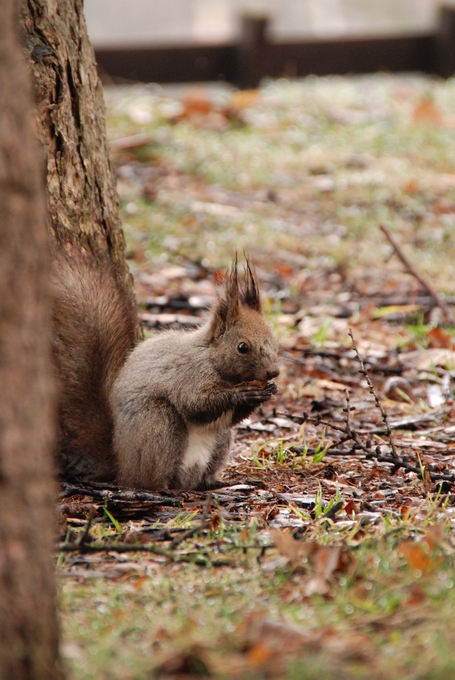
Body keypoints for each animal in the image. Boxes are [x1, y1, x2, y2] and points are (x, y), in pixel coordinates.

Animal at [53, 255, 282, 488]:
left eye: (274, 340)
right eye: (242, 347)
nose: (273, 372)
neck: (212, 358)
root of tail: (120, 464)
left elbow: (230, 418)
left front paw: (269, 390)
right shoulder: (190, 373)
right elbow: (194, 403)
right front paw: (241, 394)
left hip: (221, 441)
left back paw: (216, 483)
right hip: (158, 423)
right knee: (150, 478)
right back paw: (162, 489)